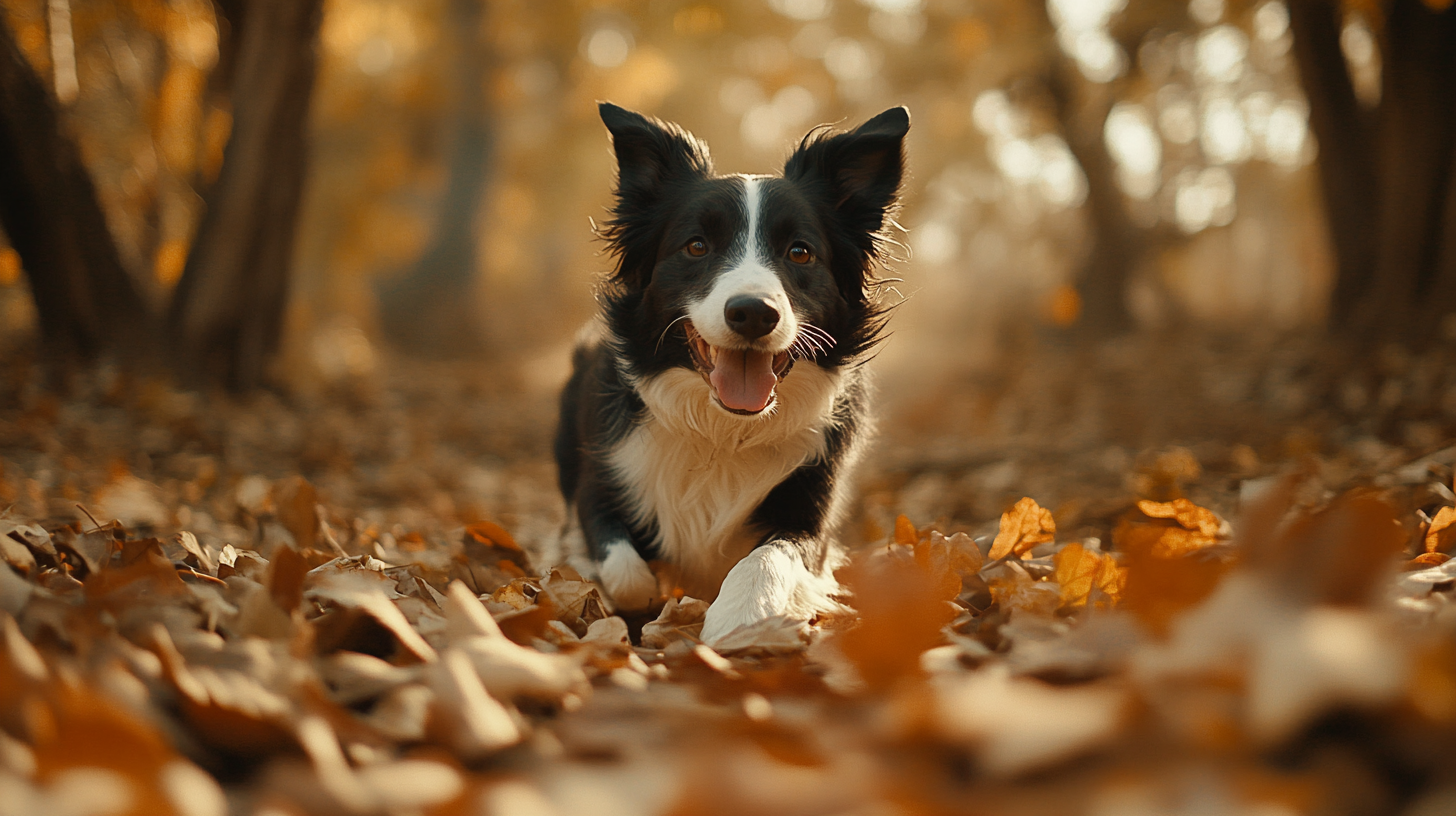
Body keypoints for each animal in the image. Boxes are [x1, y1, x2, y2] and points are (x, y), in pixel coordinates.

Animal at [550, 102, 902, 646]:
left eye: (800, 252)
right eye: (696, 246)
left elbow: (768, 557)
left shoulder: (812, 510)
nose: (754, 313)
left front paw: (740, 616)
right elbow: (626, 569)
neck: (724, 430)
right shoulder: (603, 476)